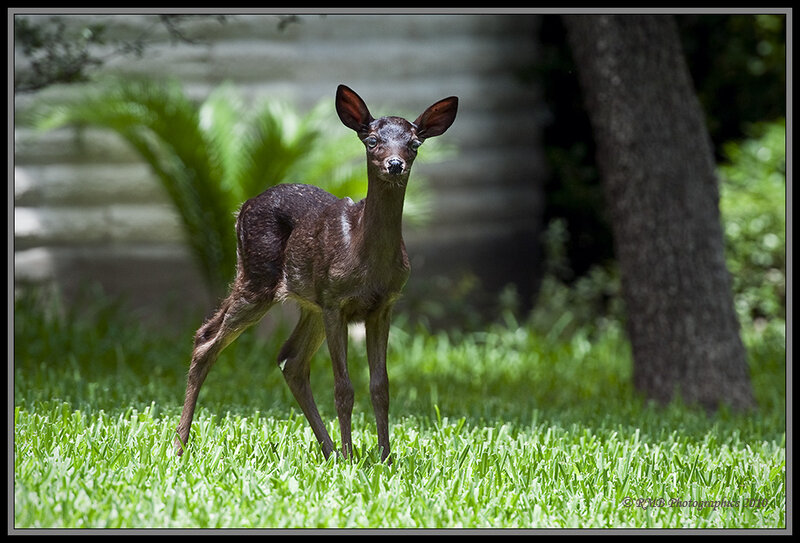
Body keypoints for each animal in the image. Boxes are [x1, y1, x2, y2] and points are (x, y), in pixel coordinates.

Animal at [174, 85, 458, 463]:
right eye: (371, 140)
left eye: (414, 143)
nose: (394, 164)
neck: (365, 256)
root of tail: (242, 208)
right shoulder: (336, 300)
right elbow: (343, 388)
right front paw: (354, 459)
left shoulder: (383, 304)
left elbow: (380, 386)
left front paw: (384, 456)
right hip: (257, 278)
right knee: (207, 339)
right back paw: (179, 445)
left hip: (308, 301)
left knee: (290, 360)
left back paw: (329, 450)